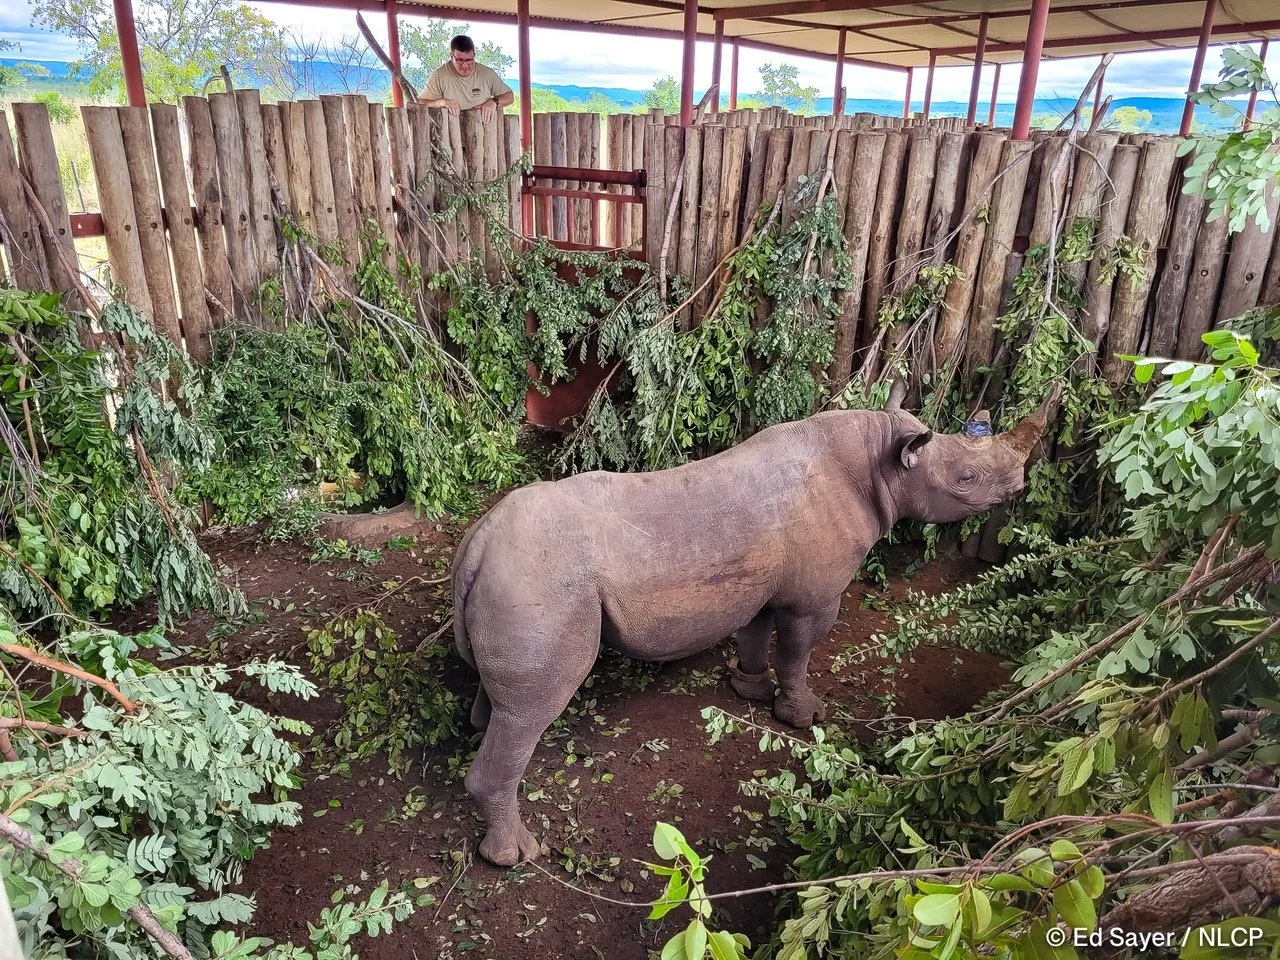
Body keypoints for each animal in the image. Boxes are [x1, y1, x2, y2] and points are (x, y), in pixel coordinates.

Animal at [450, 381, 1057, 866]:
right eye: (966, 477)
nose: (1019, 487)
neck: (879, 460)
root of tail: (477, 544)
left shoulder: (762, 581)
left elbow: (756, 633)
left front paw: (748, 688)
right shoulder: (813, 597)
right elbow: (798, 650)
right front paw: (802, 716)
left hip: (517, 578)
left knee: (508, 698)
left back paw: (482, 724)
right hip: (543, 584)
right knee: (536, 707)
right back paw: (515, 856)